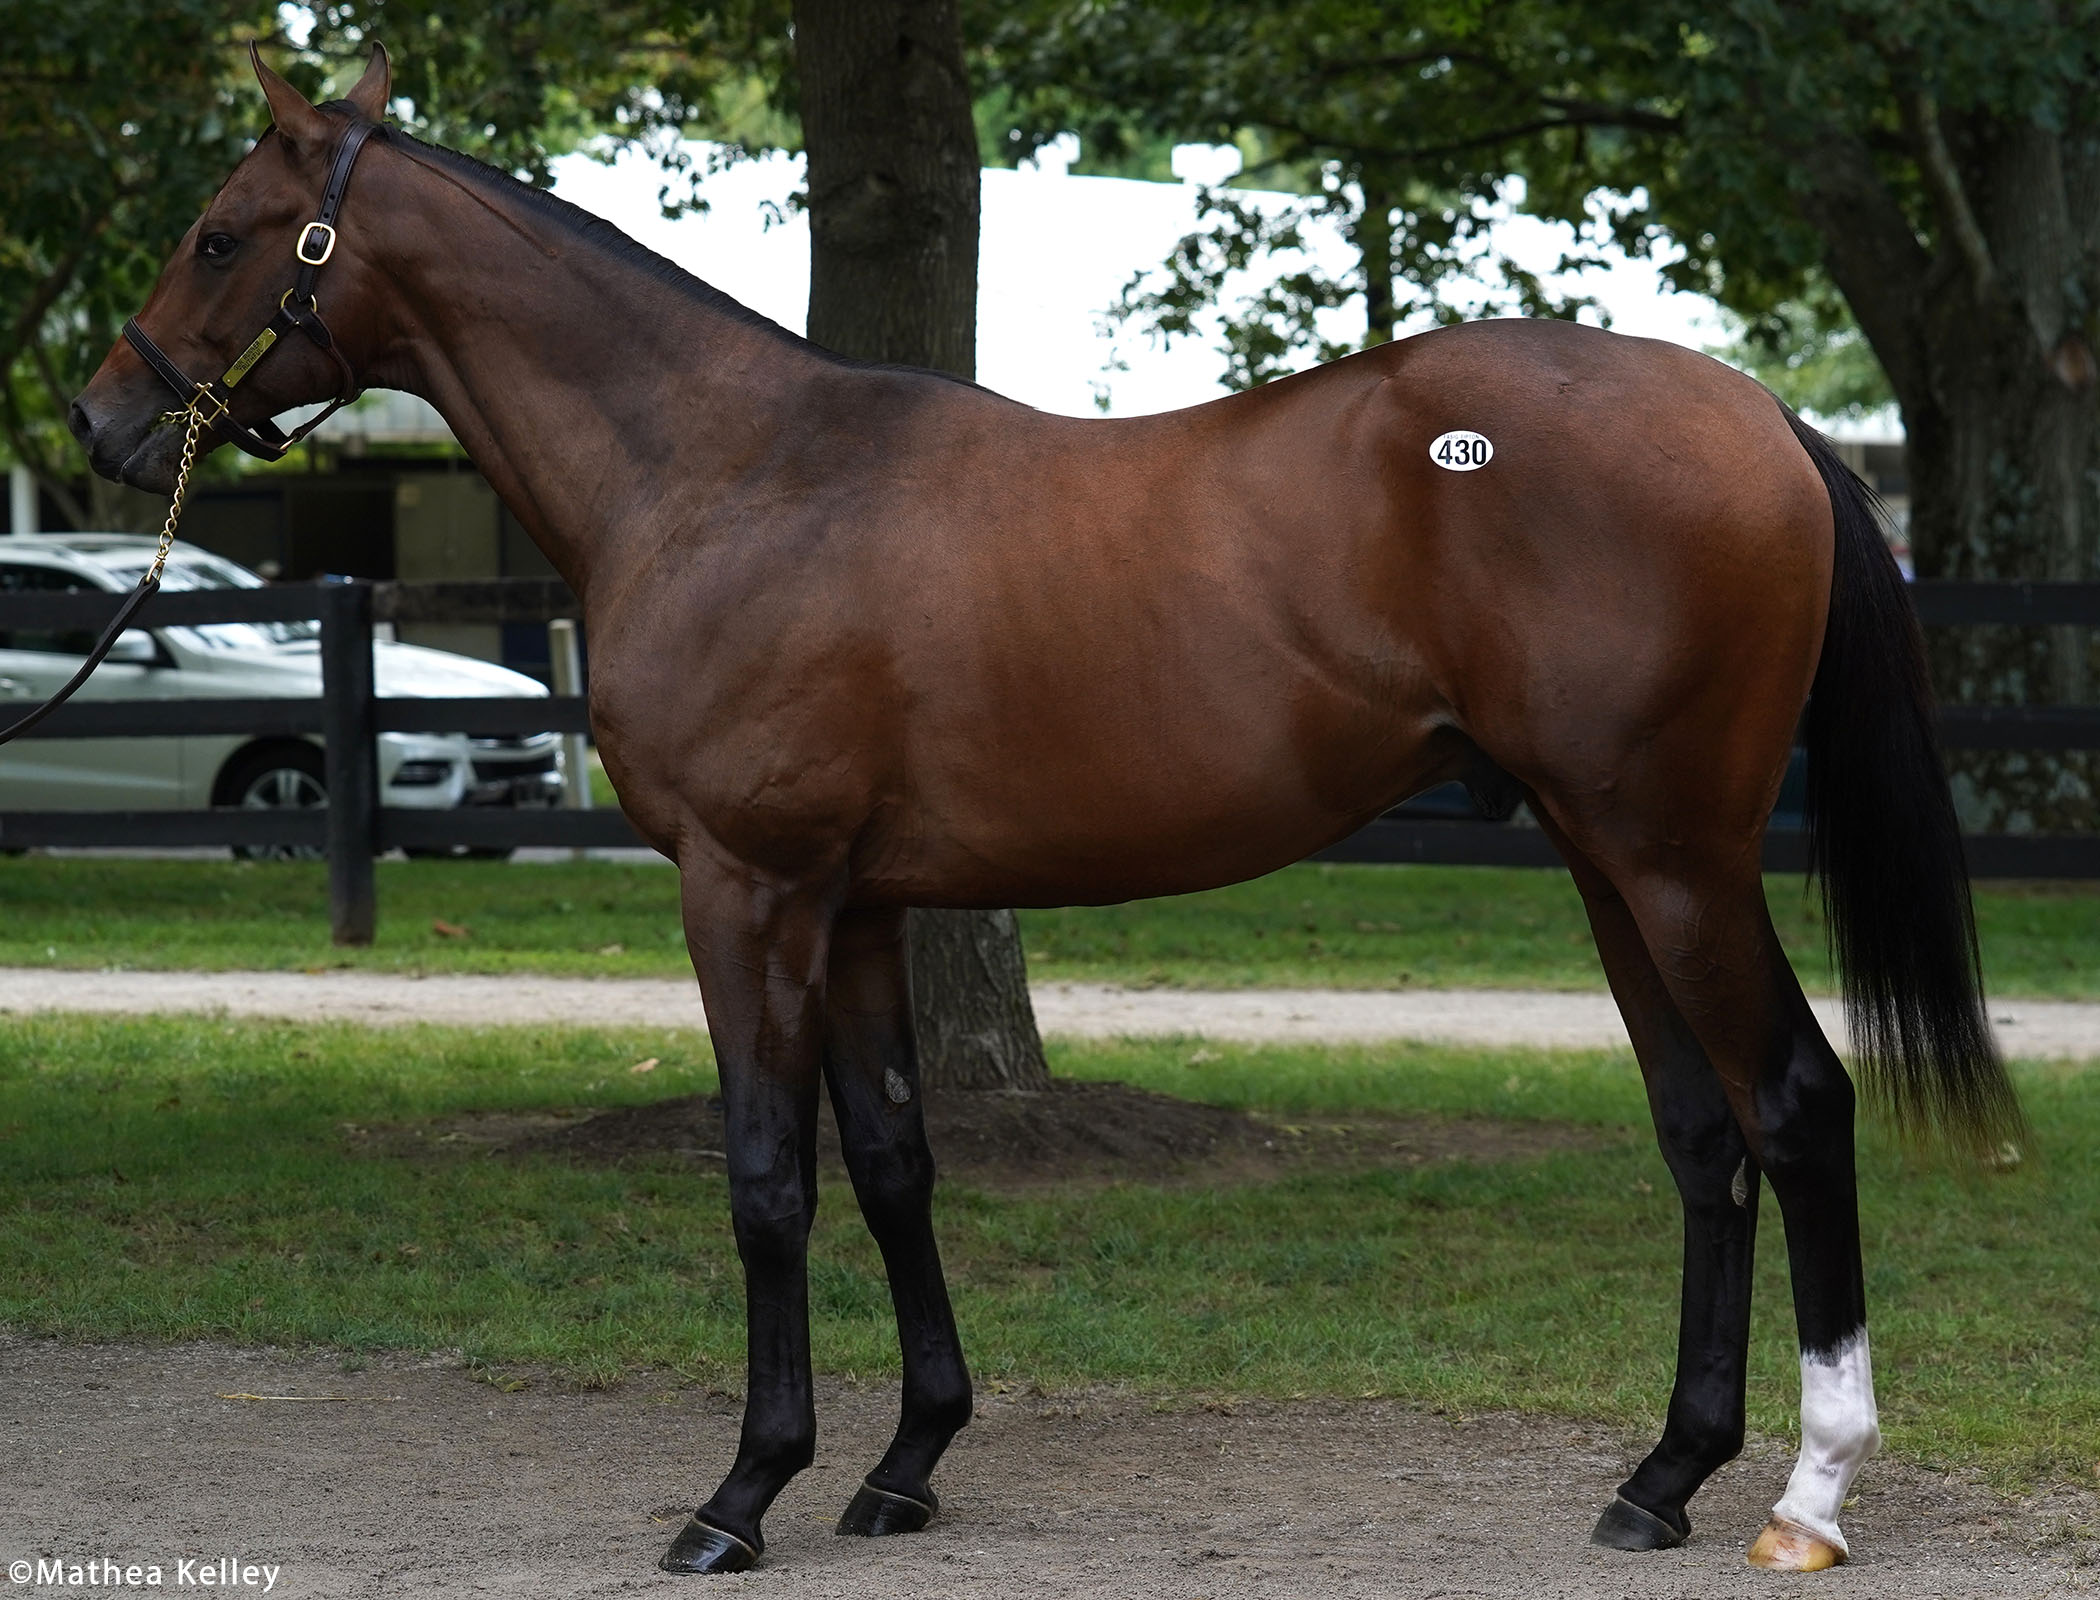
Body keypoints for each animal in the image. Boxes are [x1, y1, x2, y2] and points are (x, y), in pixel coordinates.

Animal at [74, 46, 2024, 1570]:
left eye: (219, 233)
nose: (99, 422)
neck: (726, 475)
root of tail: (1764, 419)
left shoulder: (747, 889)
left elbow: (768, 1177)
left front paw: (742, 1492)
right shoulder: (859, 904)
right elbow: (892, 1162)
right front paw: (904, 1464)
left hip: (1676, 856)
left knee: (1795, 1106)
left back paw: (1809, 1496)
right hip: (1608, 858)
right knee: (1704, 1140)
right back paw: (1661, 1477)